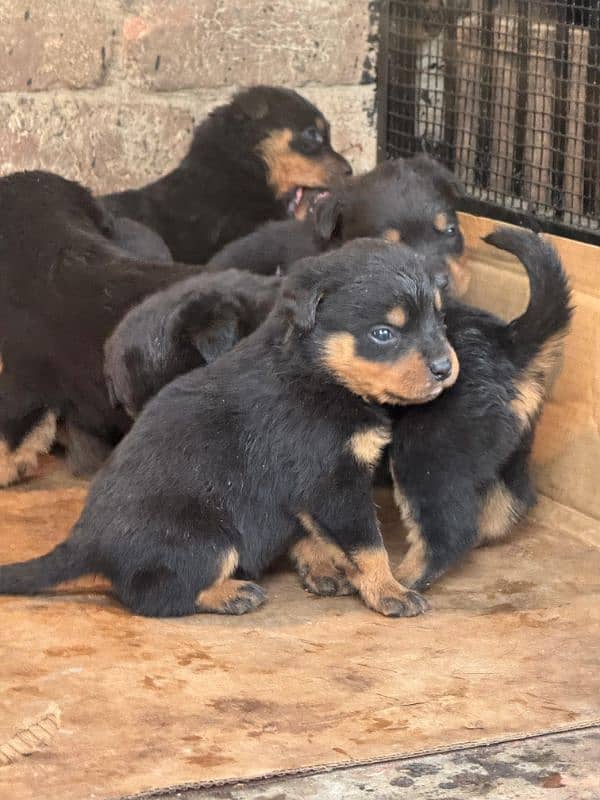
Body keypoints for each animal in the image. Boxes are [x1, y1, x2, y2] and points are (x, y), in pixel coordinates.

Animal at [0, 239, 458, 620]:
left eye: (440, 321)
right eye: (383, 334)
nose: (445, 367)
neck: (318, 372)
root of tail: (87, 541)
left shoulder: (307, 492)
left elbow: (313, 533)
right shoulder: (333, 481)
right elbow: (368, 545)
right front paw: (390, 592)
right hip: (208, 535)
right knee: (154, 594)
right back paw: (230, 593)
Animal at [386, 228, 576, 592]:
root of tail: (508, 342)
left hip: (426, 450)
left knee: (447, 529)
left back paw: (406, 580)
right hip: (512, 444)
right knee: (513, 497)